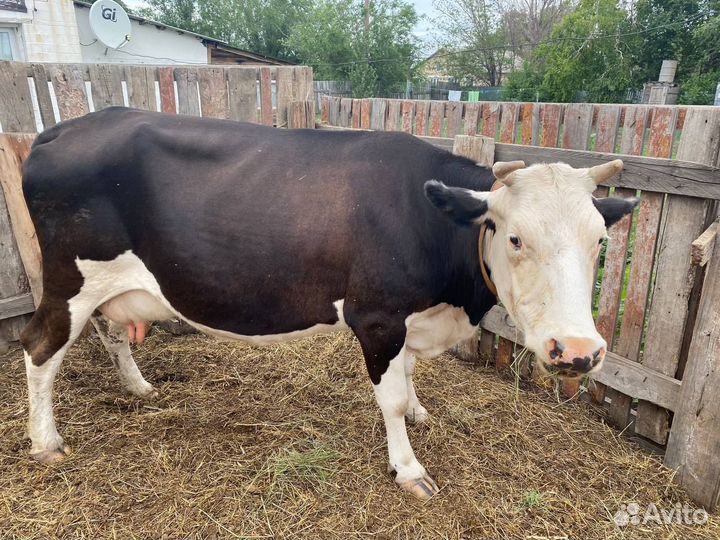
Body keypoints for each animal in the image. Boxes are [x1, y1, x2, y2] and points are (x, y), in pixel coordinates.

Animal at [20, 107, 637, 500]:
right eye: (513, 237)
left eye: (598, 241)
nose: (578, 351)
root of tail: (65, 128)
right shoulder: (377, 316)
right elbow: (390, 398)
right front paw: (408, 468)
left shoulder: (410, 318)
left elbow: (409, 376)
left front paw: (420, 410)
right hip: (69, 280)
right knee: (39, 347)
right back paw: (46, 442)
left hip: (107, 287)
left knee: (109, 332)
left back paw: (138, 387)